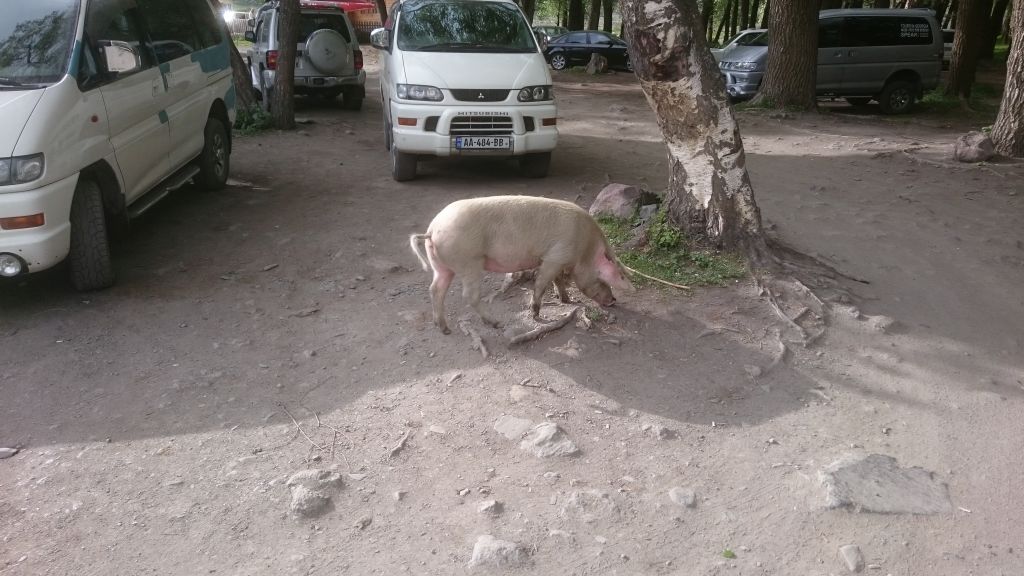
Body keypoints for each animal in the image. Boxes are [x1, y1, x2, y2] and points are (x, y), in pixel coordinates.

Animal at [409, 195, 633, 334]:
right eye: (603, 279)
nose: (613, 300)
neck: (585, 248)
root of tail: (432, 229)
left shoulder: (558, 259)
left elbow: (558, 281)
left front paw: (567, 300)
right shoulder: (555, 256)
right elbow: (541, 283)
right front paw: (536, 315)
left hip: (441, 266)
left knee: (435, 290)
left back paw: (444, 329)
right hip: (469, 261)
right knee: (469, 295)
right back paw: (496, 324)